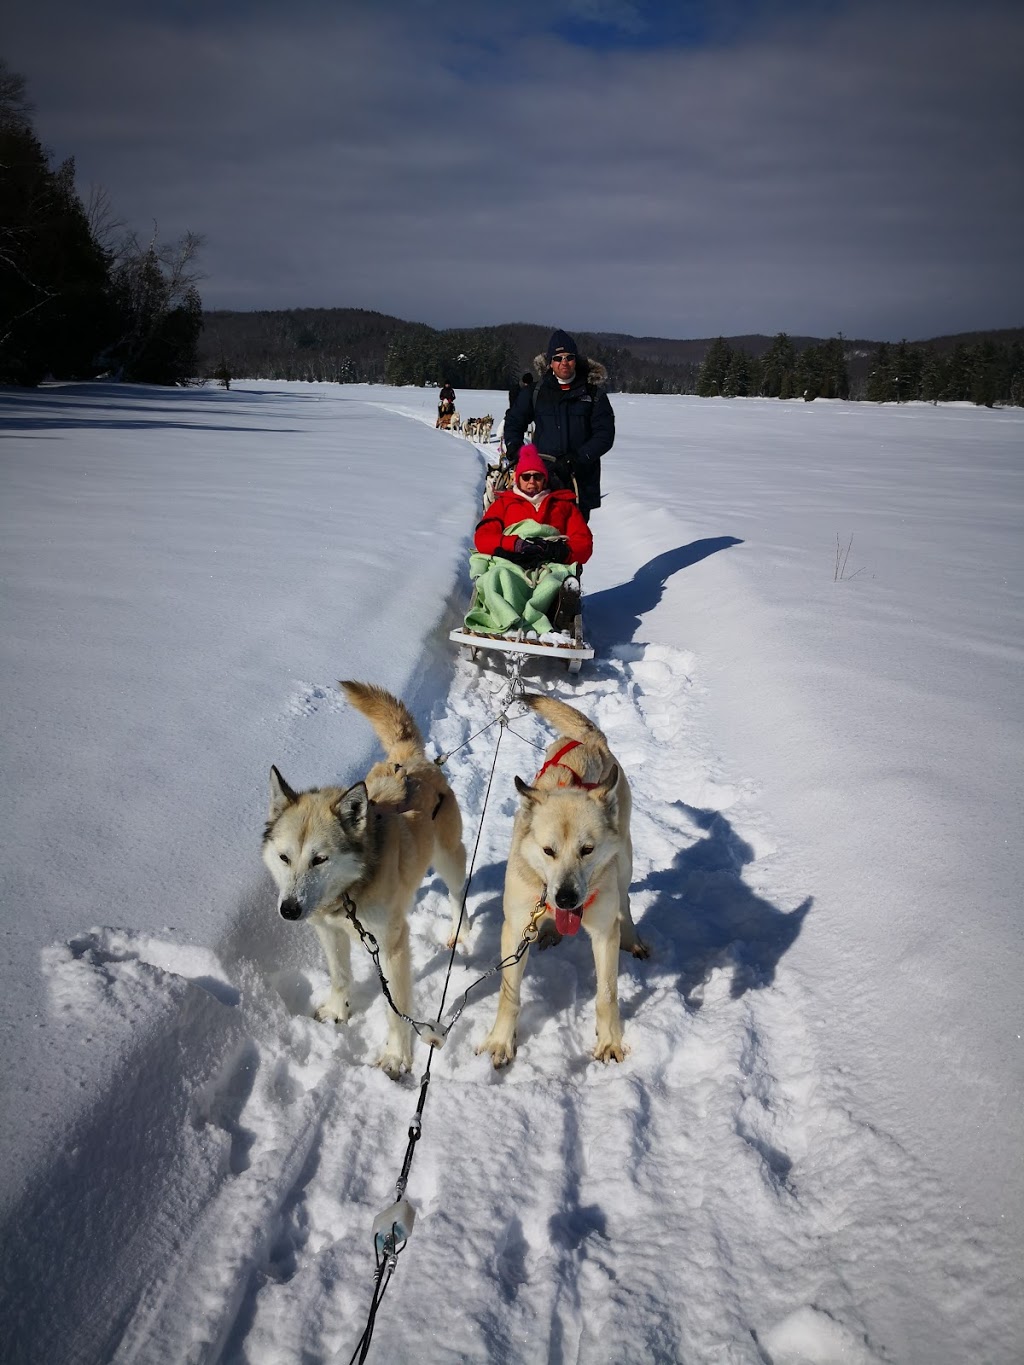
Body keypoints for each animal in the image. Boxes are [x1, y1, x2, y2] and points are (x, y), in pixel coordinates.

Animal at [266, 682, 472, 1075]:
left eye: (320, 859)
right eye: (284, 858)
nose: (289, 910)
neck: (350, 892)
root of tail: (410, 760)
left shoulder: (392, 946)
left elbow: (397, 1010)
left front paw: (397, 1055)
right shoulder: (328, 932)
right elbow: (340, 976)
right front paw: (338, 1011)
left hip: (448, 858)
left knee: (458, 891)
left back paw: (461, 931)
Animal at [480, 693, 649, 1064]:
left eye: (587, 849)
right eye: (548, 851)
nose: (567, 898)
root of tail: (591, 740)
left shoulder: (603, 933)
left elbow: (607, 995)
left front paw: (610, 1040)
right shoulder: (515, 928)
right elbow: (509, 994)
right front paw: (501, 1040)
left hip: (624, 863)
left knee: (625, 900)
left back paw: (632, 938)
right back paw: (552, 931)